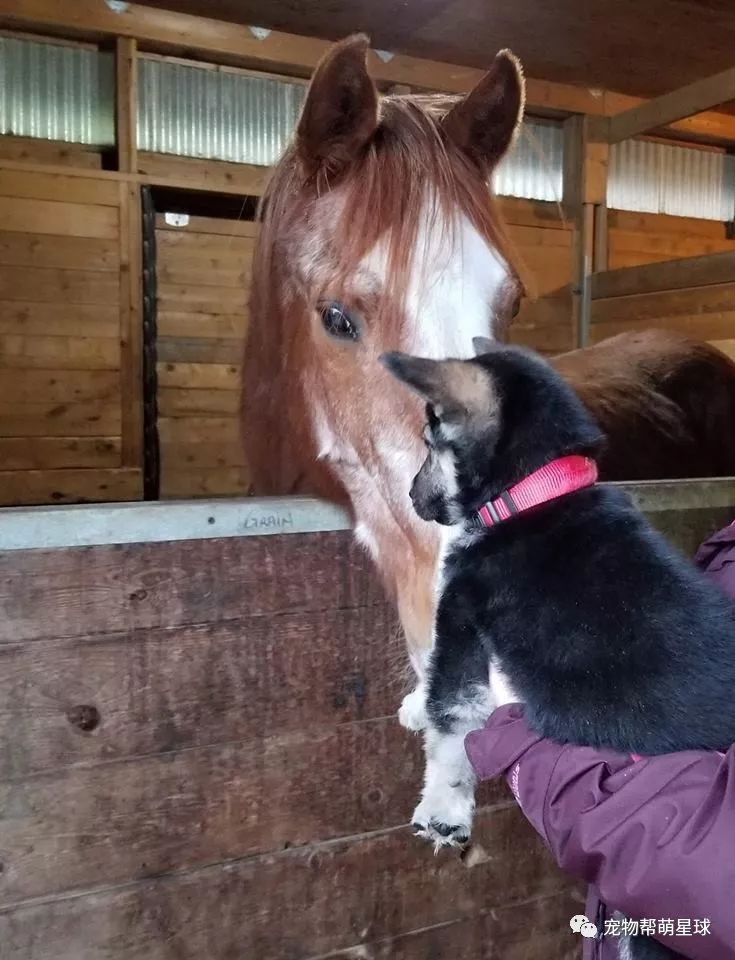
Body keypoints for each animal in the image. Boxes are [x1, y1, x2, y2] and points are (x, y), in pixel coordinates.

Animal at [382, 342, 735, 960]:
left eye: (431, 443)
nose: (411, 497)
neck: (536, 492)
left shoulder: (463, 621)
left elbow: (451, 724)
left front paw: (443, 811)